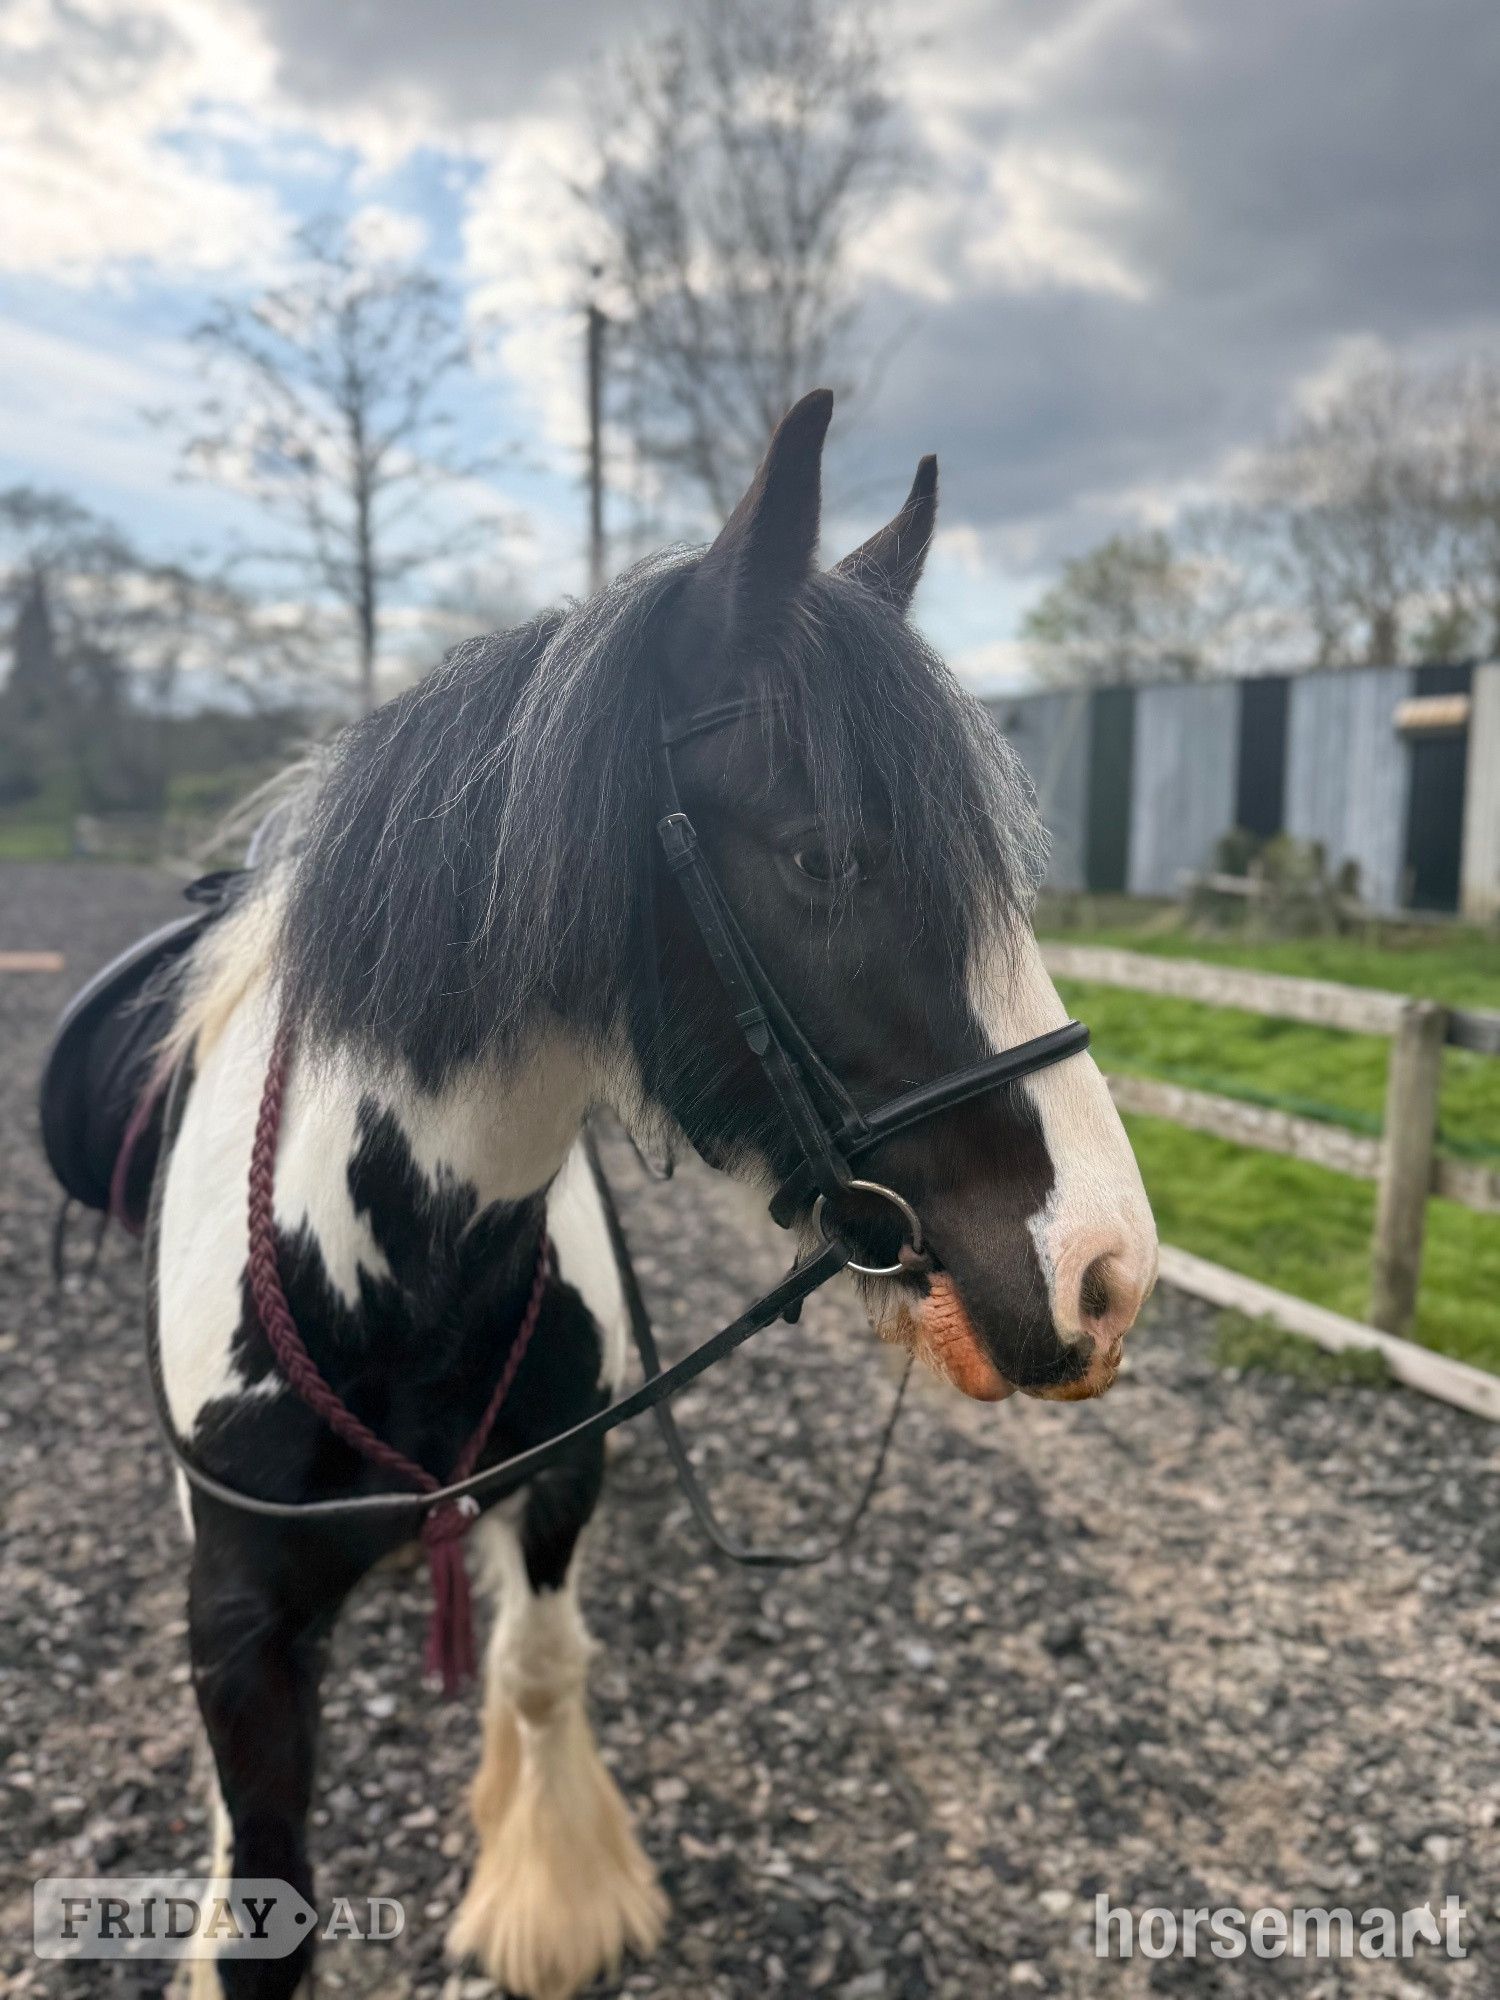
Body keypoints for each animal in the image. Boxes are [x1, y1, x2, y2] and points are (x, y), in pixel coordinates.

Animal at [143, 389, 1156, 1999]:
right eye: (822, 857)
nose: (1109, 1274)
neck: (398, 1274)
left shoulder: (562, 1483)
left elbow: (541, 1667)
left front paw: (551, 1887)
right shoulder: (238, 1624)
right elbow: (262, 1887)